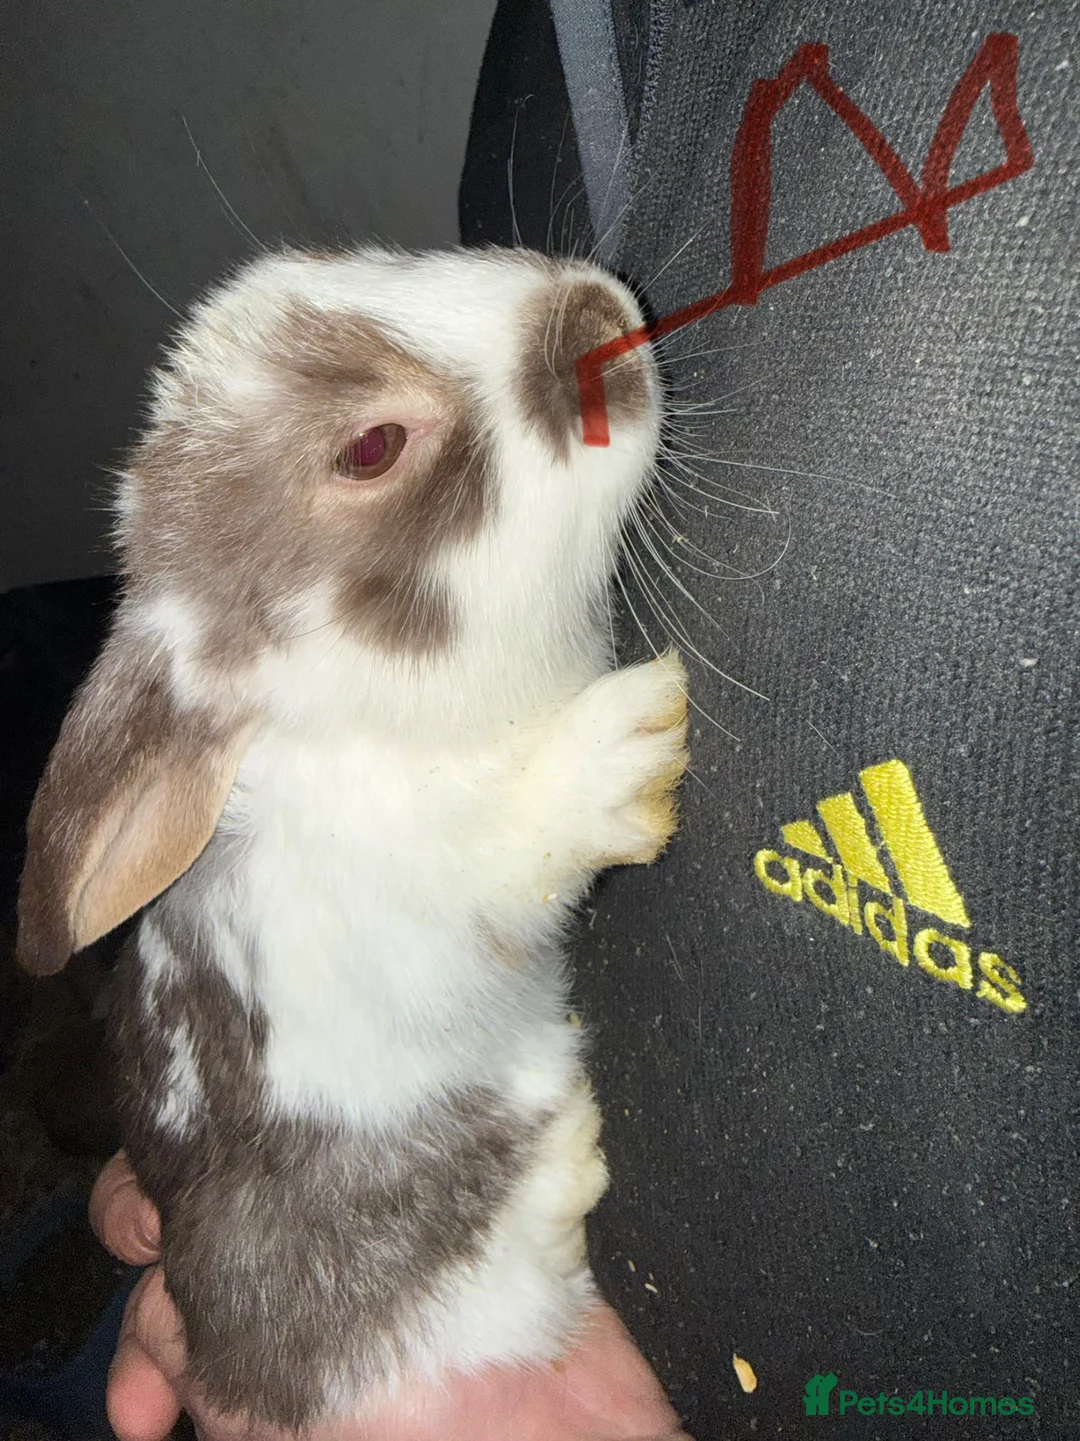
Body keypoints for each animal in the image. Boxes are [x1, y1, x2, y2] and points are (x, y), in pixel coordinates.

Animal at [16, 244, 689, 1429]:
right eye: (371, 447)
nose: (605, 309)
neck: (362, 704)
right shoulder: (418, 895)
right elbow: (512, 844)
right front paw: (631, 740)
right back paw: (565, 1160)